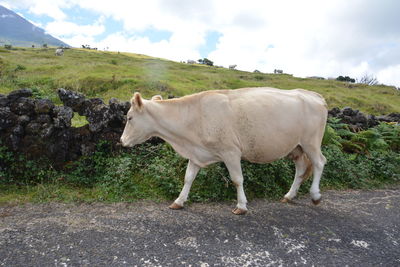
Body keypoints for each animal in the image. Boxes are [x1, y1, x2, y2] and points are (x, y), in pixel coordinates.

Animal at [120, 87, 326, 216]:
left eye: (129, 118)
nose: (121, 141)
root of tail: (314, 95)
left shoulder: (231, 152)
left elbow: (237, 179)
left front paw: (241, 206)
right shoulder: (196, 152)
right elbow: (188, 178)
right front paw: (178, 201)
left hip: (311, 142)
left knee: (319, 163)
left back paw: (315, 196)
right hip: (296, 147)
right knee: (301, 169)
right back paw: (289, 196)